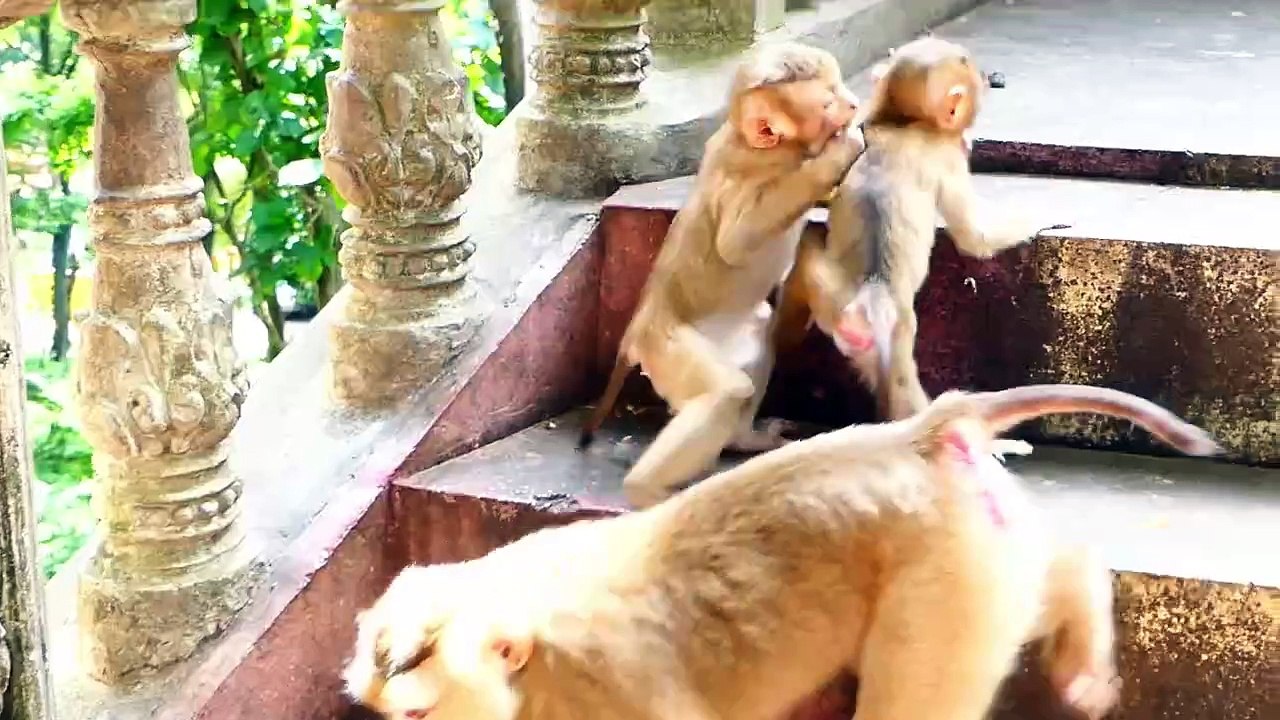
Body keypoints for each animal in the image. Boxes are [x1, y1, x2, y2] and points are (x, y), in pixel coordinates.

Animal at [346, 383, 1219, 720]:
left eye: (422, 713)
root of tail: (921, 432)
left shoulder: (606, 690)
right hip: (982, 551)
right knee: (1038, 577)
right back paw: (1079, 610)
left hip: (943, 581)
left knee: (916, 701)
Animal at [576, 42, 866, 509]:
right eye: (828, 103)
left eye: (840, 88)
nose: (854, 104)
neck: (773, 150)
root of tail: (636, 332)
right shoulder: (744, 177)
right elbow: (736, 241)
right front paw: (843, 149)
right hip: (669, 348)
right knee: (723, 392)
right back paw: (646, 488)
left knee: (761, 337)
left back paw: (745, 439)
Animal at [774, 37, 1068, 421]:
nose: (987, 80)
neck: (902, 122)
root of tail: (871, 299)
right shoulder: (947, 157)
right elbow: (973, 236)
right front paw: (1040, 218)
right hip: (896, 336)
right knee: (903, 392)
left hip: (831, 296)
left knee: (808, 247)